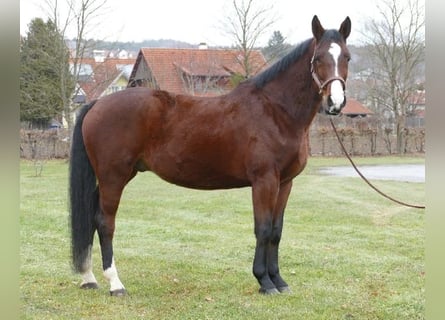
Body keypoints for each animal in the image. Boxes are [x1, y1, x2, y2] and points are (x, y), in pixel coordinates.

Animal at [70, 15, 350, 296]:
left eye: (346, 57)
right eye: (318, 59)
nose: (335, 103)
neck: (276, 111)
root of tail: (98, 103)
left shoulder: (285, 183)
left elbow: (276, 231)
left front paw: (278, 280)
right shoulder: (264, 181)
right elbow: (263, 229)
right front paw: (264, 281)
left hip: (118, 176)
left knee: (91, 218)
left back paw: (88, 278)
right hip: (113, 177)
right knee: (105, 222)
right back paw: (115, 283)